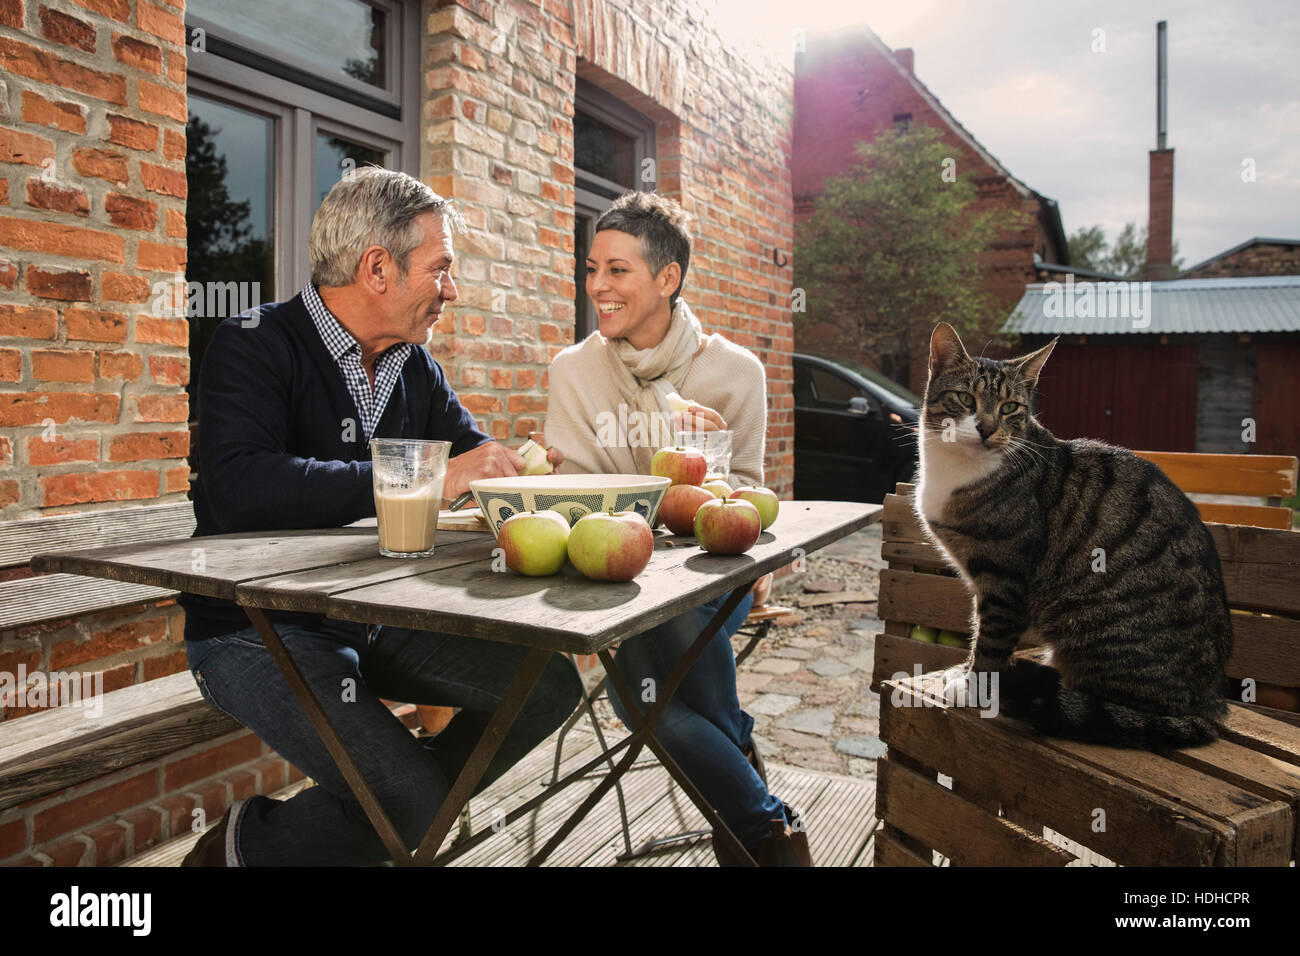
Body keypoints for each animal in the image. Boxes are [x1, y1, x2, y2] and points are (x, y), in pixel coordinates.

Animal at [915, 321, 1227, 749]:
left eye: (1010, 407)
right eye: (965, 398)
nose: (987, 428)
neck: (958, 471)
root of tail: (1212, 703)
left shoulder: (1004, 577)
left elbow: (992, 638)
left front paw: (975, 685)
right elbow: (979, 629)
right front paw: (965, 671)